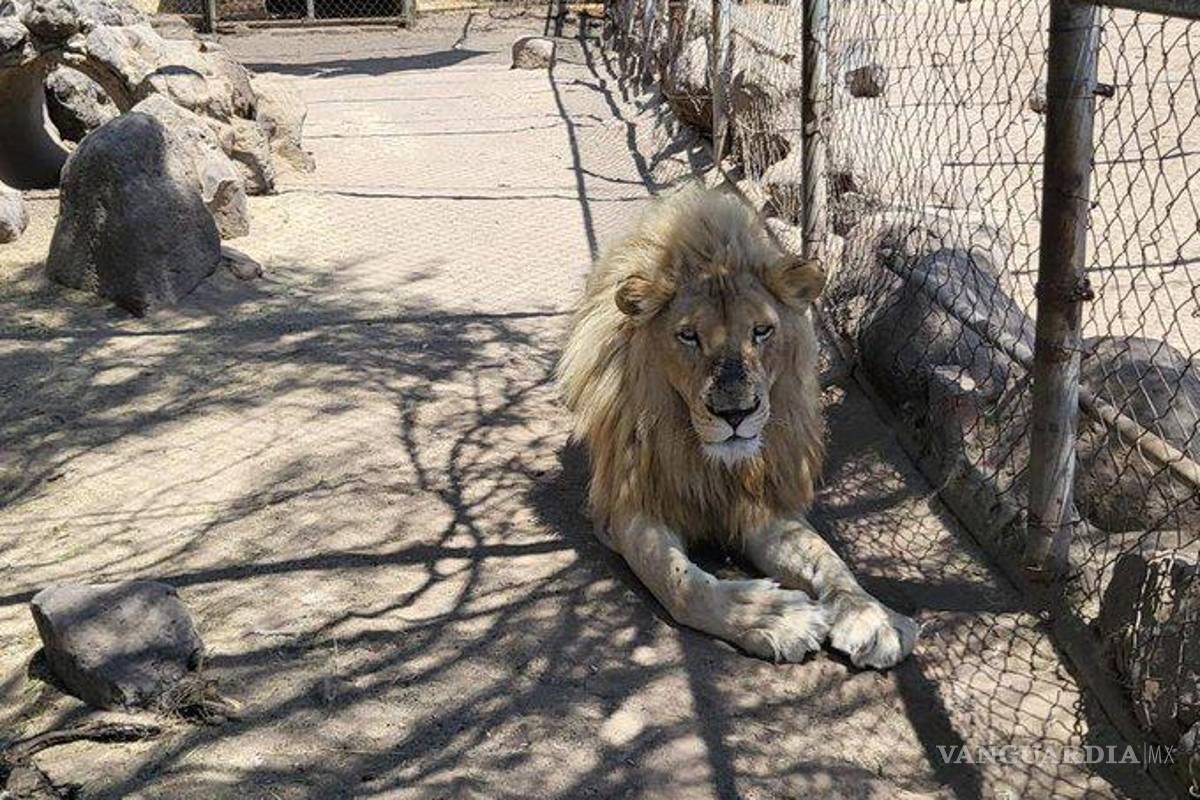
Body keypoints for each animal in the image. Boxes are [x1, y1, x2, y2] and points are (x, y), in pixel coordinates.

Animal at [557, 187, 919, 668]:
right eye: (688, 336)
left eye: (762, 331)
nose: (737, 415)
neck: (709, 461)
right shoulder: (632, 506)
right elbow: (679, 581)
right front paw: (772, 618)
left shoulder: (763, 504)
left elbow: (828, 558)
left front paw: (872, 616)